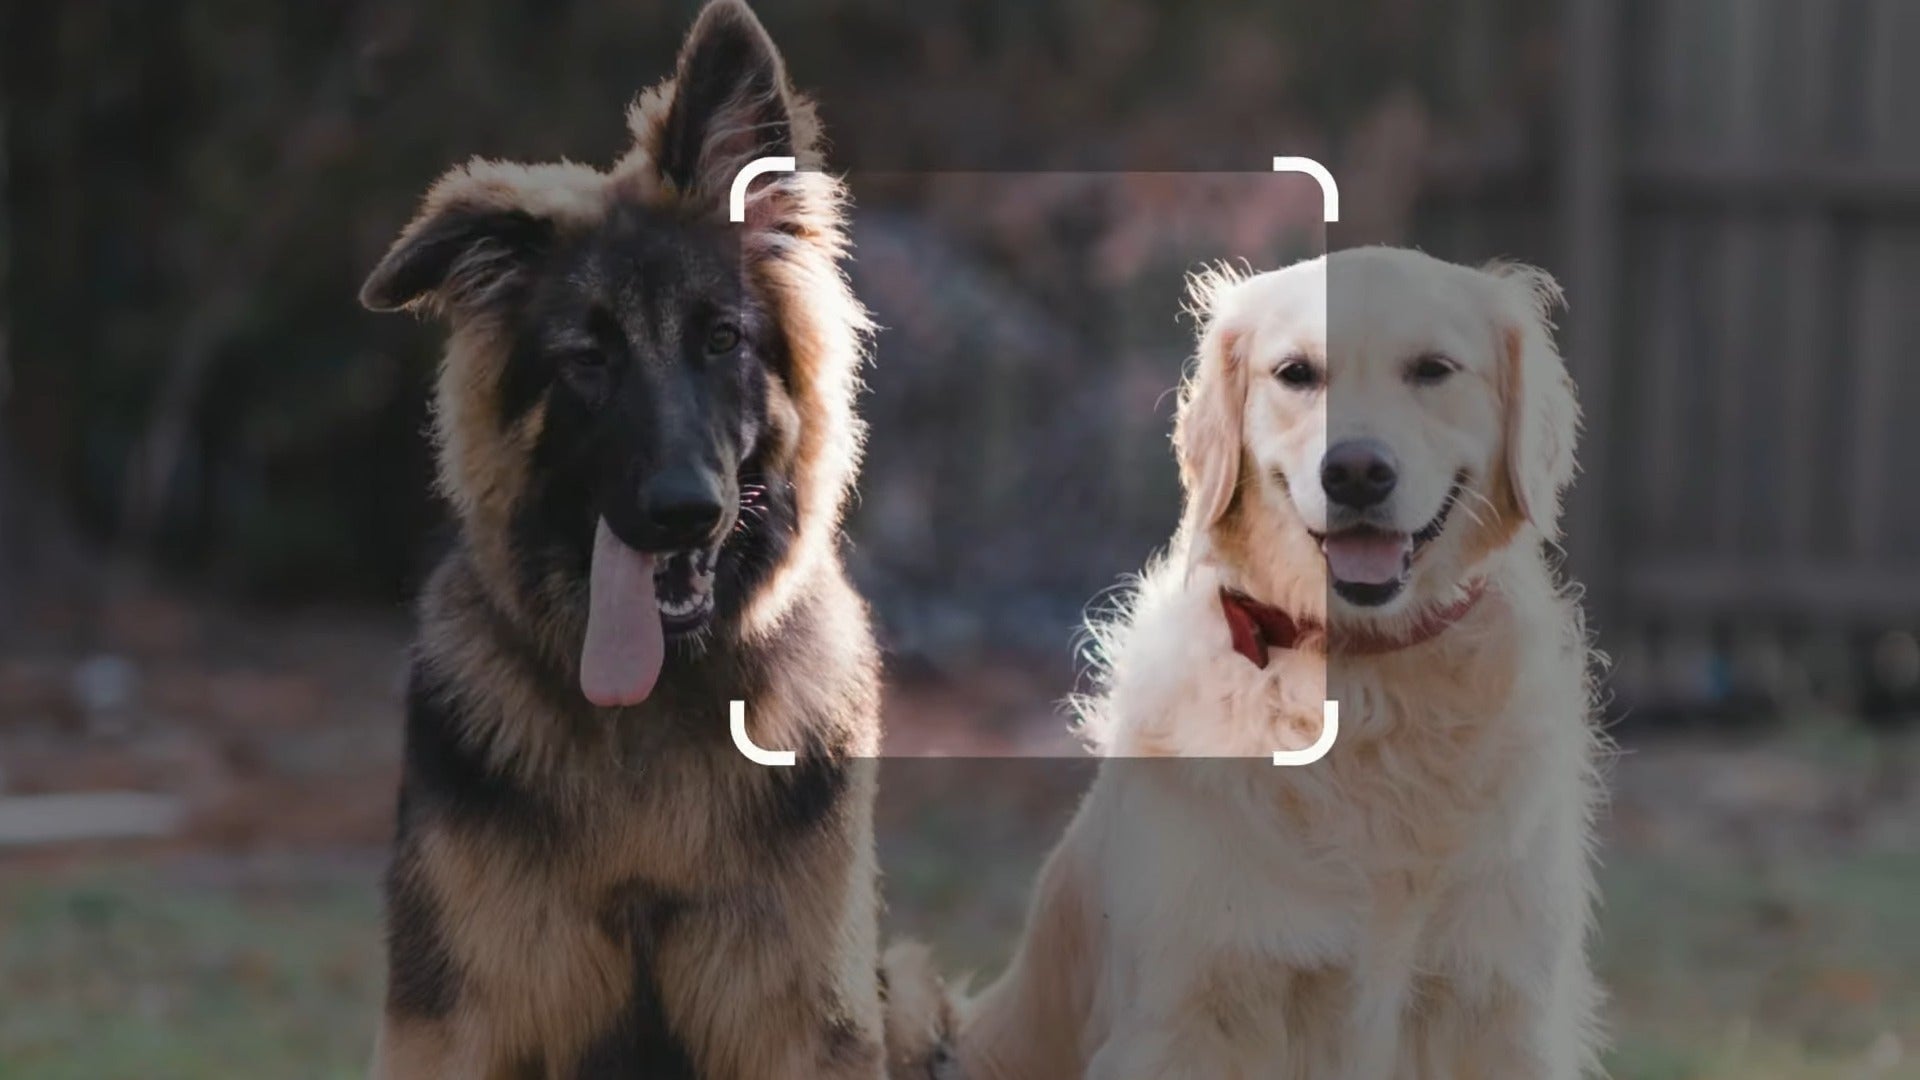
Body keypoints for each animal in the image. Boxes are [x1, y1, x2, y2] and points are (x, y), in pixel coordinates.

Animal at [357, 4, 948, 1068]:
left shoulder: (797, 1015)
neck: (652, 713)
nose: (685, 511)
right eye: (587, 360)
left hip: (913, 995)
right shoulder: (467, 1016)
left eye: (722, 339)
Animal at [960, 247, 1605, 1068]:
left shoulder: (1499, 1002)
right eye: (1296, 373)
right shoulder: (1184, 1014)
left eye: (1433, 369)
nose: (1356, 472)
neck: (1360, 680)